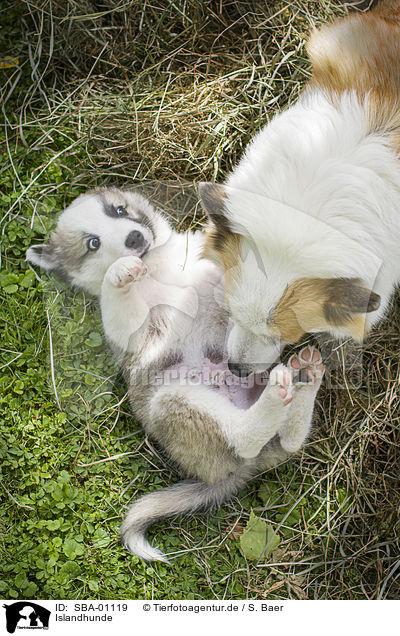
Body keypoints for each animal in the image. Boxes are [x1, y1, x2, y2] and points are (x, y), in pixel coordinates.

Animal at [26, 188, 324, 560]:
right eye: (93, 243)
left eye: (119, 210)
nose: (134, 238)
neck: (157, 266)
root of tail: (238, 471)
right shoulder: (132, 334)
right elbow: (118, 302)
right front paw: (119, 271)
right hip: (177, 400)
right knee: (244, 437)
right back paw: (277, 396)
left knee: (289, 440)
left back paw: (306, 377)